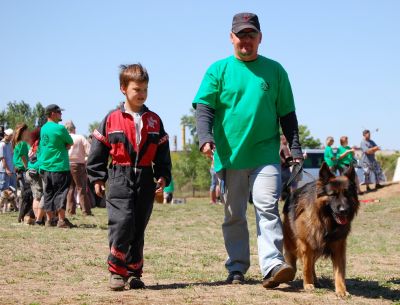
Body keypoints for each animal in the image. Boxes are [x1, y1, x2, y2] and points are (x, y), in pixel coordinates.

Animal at [282, 163, 360, 296]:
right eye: (333, 194)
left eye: (347, 194)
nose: (344, 210)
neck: (326, 221)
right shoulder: (306, 244)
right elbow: (306, 267)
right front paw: (308, 284)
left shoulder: (338, 246)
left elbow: (339, 272)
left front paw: (341, 290)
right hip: (295, 243)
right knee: (296, 259)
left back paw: (316, 280)